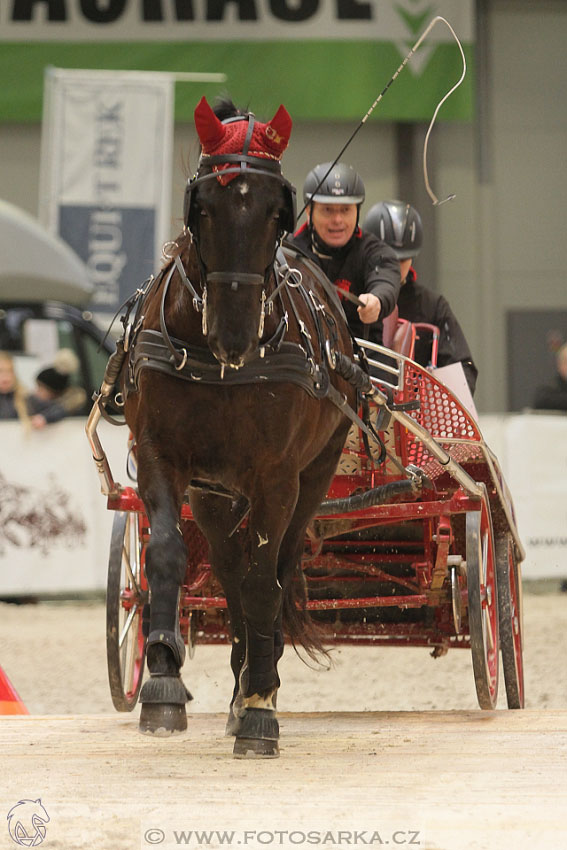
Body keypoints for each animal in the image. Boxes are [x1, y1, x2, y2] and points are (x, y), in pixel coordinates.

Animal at [120, 97, 368, 756]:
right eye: (203, 205)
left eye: (275, 212)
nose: (233, 334)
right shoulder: (160, 455)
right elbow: (167, 554)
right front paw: (162, 680)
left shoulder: (276, 478)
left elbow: (264, 585)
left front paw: (260, 706)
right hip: (215, 494)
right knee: (228, 577)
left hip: (313, 478)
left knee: (273, 575)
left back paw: (261, 680)